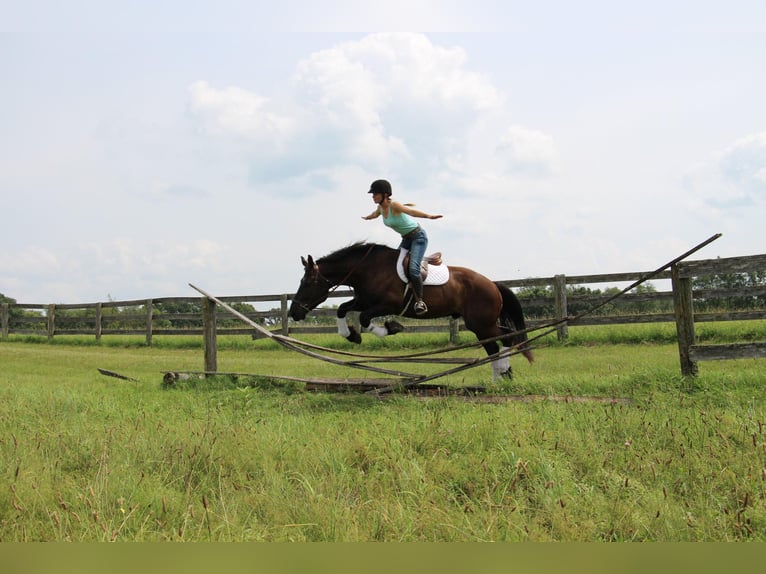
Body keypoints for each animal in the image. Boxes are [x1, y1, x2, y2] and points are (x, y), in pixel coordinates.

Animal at [288, 243, 536, 382]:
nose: (294, 313)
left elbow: (366, 319)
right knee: (496, 344)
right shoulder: (363, 300)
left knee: (503, 339)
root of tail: (493, 284)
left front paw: (392, 327)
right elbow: (342, 309)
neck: (367, 269)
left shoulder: (388, 305)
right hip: (482, 324)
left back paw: (503, 376)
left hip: (481, 323)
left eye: (307, 282)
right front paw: (351, 335)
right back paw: (501, 377)